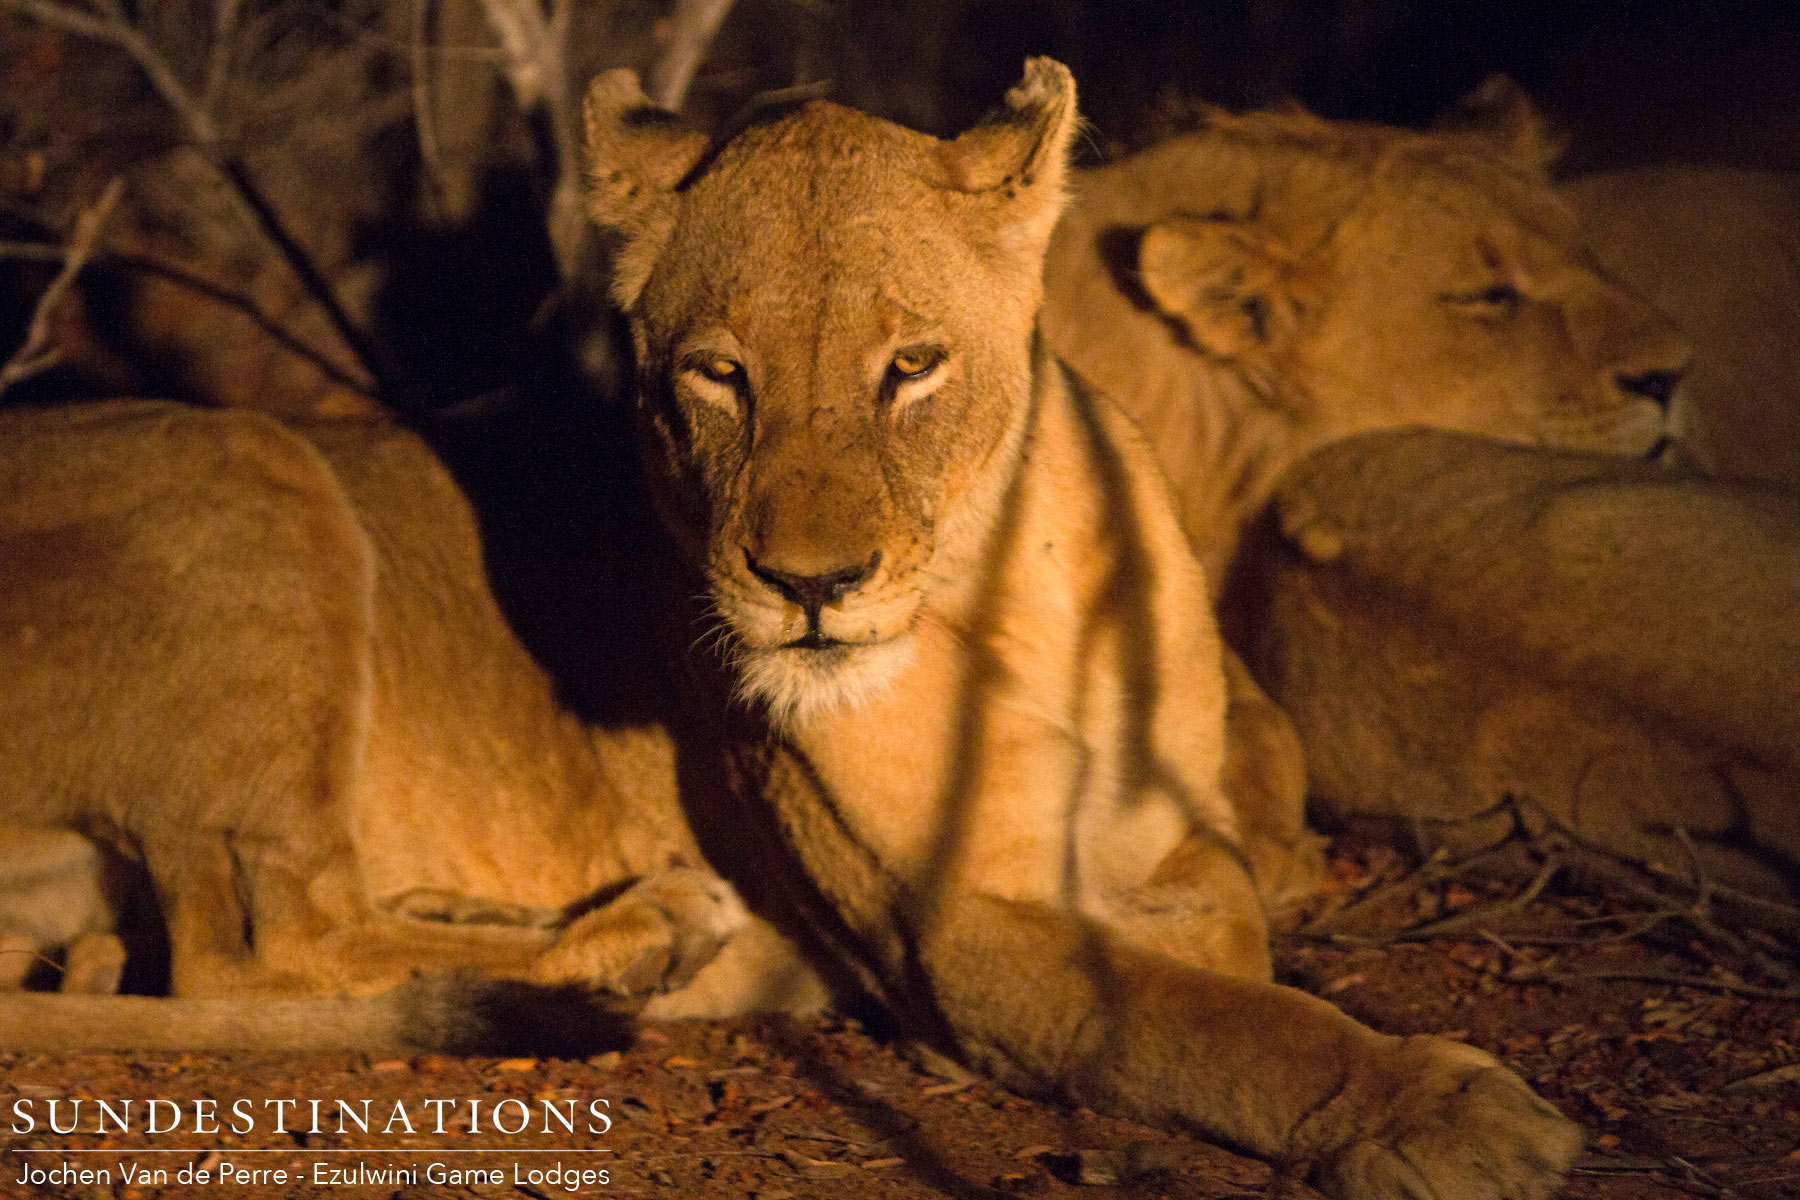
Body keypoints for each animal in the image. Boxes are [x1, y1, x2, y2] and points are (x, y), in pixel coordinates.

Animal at [580, 57, 1579, 1199]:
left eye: (912, 365)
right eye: (720, 373)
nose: (811, 584)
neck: (1013, 600)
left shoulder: (1174, 831)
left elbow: (1225, 941)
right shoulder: (956, 930)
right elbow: (1213, 1022)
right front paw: (1438, 1110)